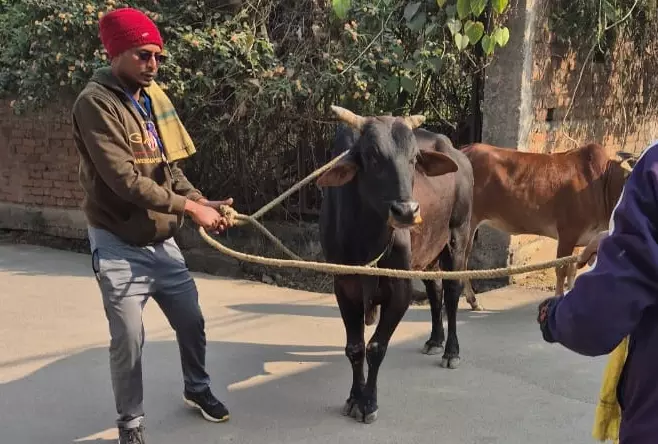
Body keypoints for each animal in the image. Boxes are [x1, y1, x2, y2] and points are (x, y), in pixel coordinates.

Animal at [317, 105, 474, 424]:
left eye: (414, 159)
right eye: (373, 157)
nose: (407, 211)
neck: (365, 238)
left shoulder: (400, 290)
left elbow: (376, 346)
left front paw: (369, 403)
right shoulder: (344, 287)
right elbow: (355, 348)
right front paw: (353, 398)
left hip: (458, 238)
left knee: (452, 292)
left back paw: (450, 351)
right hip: (428, 255)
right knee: (435, 291)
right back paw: (434, 340)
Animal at [458, 142, 636, 311]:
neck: (603, 183)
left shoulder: (581, 239)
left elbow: (572, 270)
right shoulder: (567, 233)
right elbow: (561, 270)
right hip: (468, 222)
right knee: (462, 260)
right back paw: (473, 301)